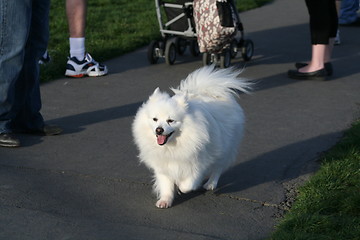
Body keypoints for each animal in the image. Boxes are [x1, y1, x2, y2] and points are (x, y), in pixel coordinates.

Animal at [131, 65, 250, 208]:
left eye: (170, 121)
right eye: (155, 119)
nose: (159, 130)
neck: (172, 146)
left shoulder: (197, 162)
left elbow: (188, 184)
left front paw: (180, 186)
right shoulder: (163, 164)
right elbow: (166, 184)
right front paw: (165, 200)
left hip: (224, 148)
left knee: (218, 168)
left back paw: (210, 184)